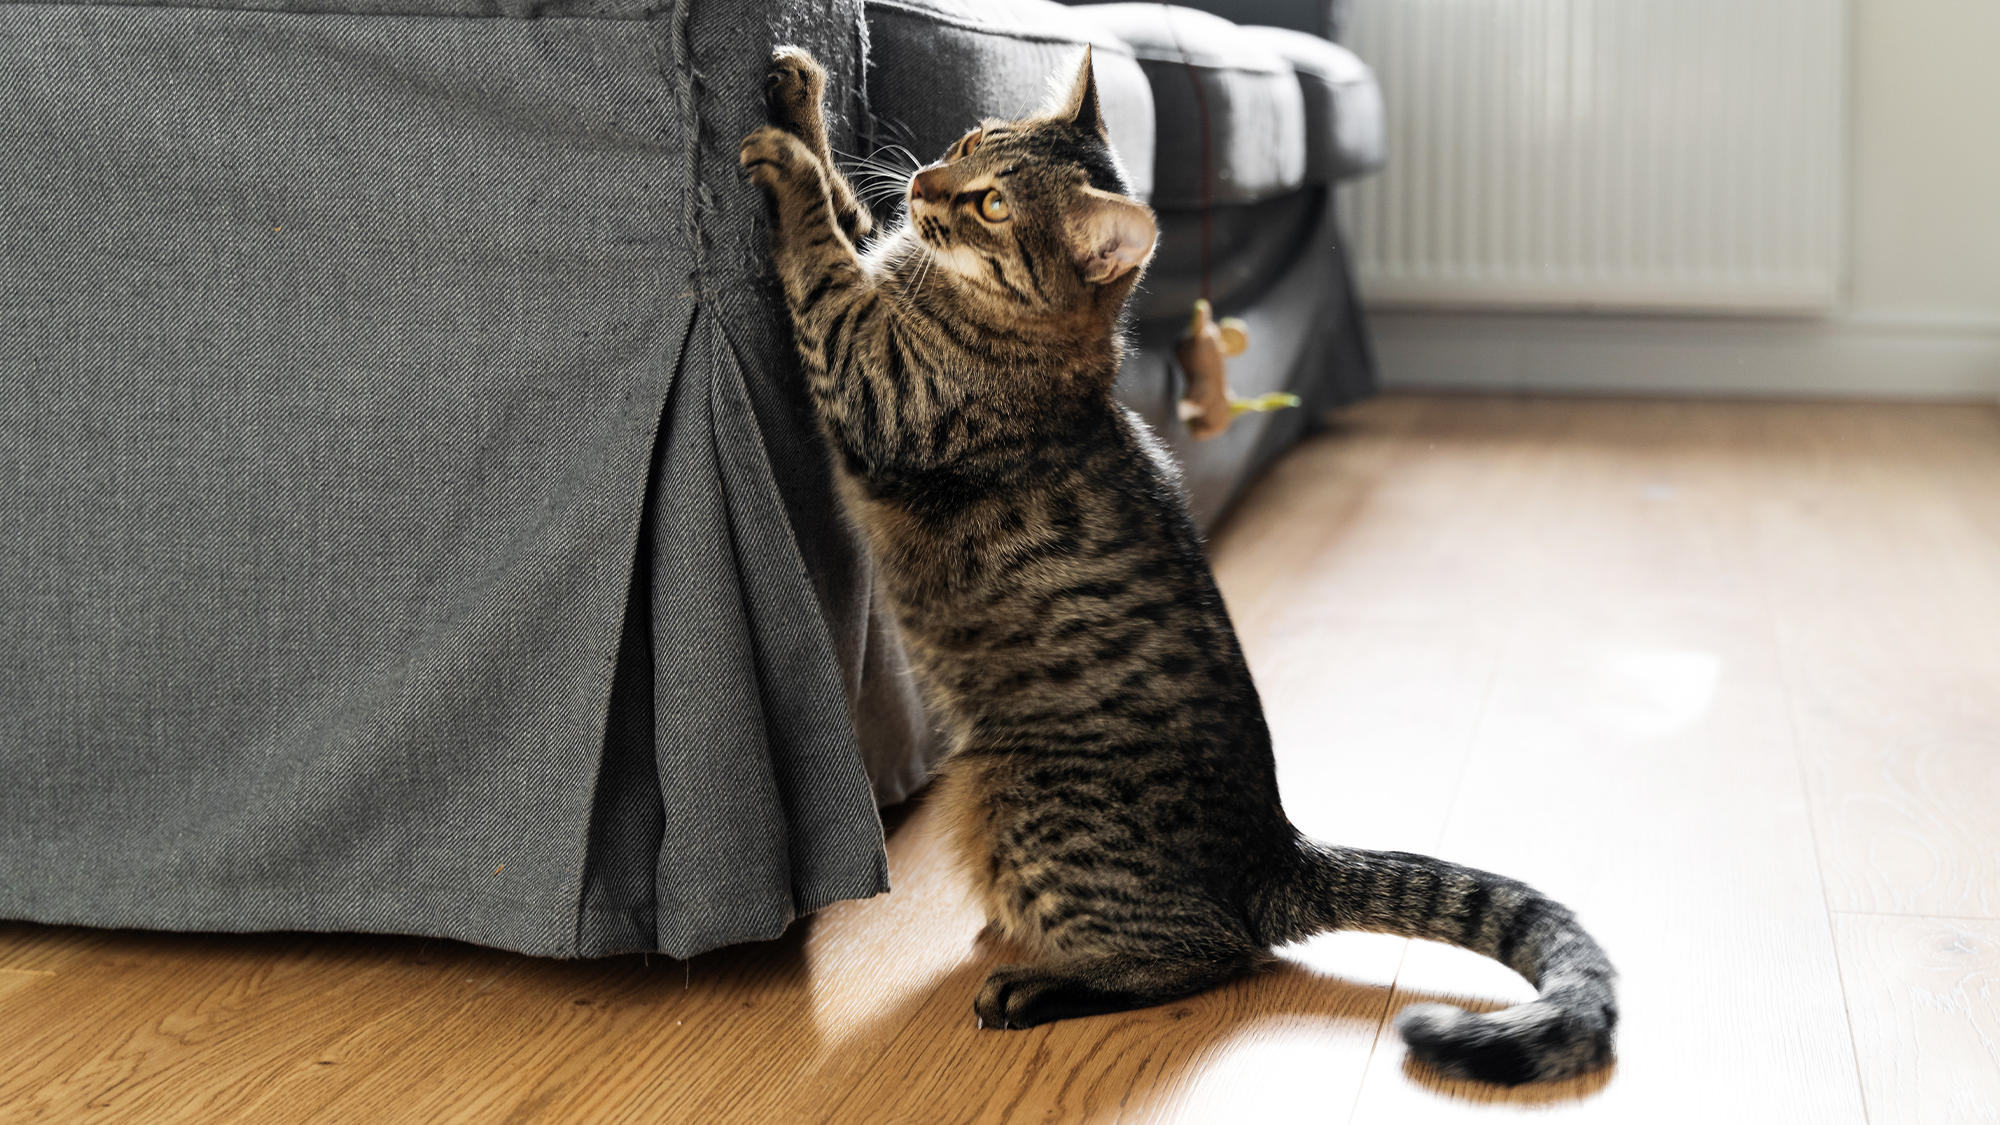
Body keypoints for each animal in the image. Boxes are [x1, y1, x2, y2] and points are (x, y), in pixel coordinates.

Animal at [744, 46, 1616, 1088]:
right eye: (966, 143)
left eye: (992, 205)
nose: (925, 184)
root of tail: (1275, 849)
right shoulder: (884, 269)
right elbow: (849, 213)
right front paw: (801, 95)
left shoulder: (875, 375)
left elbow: (824, 257)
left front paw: (791, 165)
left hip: (1023, 801)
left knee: (1207, 952)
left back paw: (1038, 982)